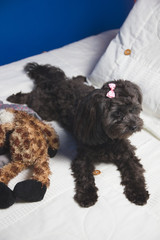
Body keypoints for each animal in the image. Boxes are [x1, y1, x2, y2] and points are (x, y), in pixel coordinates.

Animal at [7, 62, 150, 207]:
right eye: (118, 114)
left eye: (133, 109)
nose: (134, 126)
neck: (108, 139)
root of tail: (58, 82)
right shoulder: (82, 158)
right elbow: (85, 176)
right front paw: (87, 195)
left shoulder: (127, 154)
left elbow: (135, 172)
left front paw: (139, 193)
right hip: (45, 110)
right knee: (32, 96)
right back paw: (14, 98)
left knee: (71, 79)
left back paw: (81, 77)